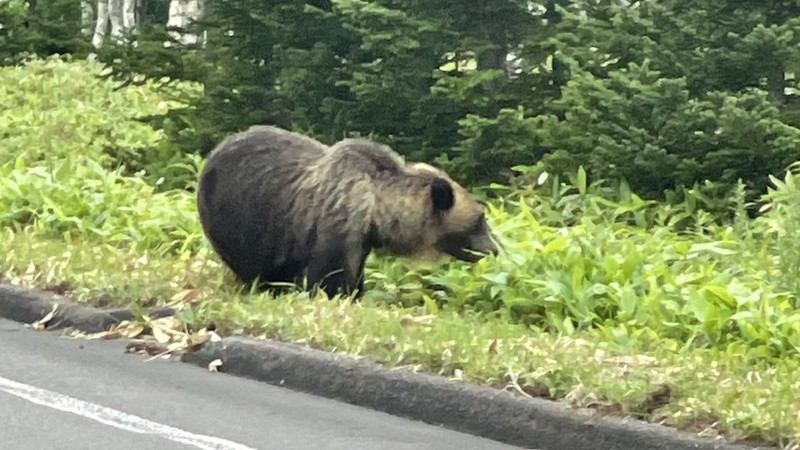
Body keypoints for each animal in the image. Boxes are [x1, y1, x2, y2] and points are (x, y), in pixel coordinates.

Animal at [196, 124, 500, 298]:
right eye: (481, 219)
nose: (496, 249)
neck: (377, 212)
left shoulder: (360, 242)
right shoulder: (334, 227)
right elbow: (326, 279)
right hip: (240, 218)